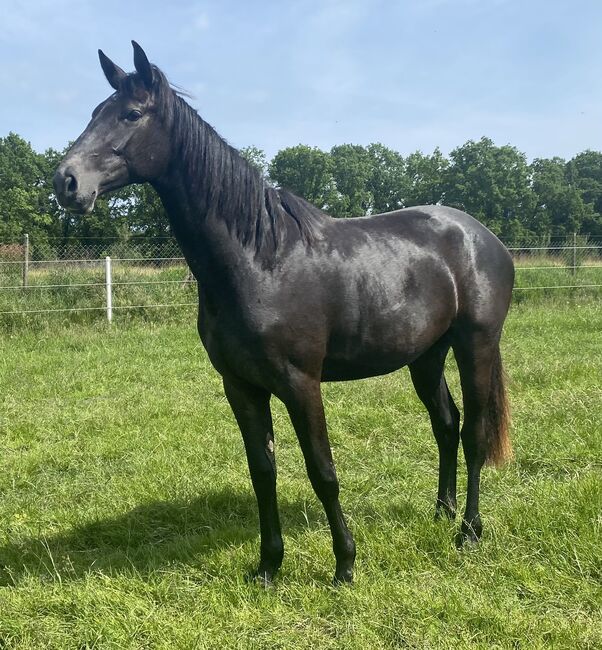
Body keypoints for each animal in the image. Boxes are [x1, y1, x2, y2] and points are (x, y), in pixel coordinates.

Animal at [55, 44, 510, 584]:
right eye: (93, 113)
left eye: (131, 114)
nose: (66, 182)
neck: (260, 260)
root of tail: (482, 237)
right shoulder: (241, 386)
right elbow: (263, 472)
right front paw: (268, 566)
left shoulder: (300, 383)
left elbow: (323, 471)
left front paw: (345, 565)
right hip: (425, 355)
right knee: (445, 423)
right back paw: (441, 512)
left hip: (475, 345)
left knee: (474, 433)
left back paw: (469, 532)